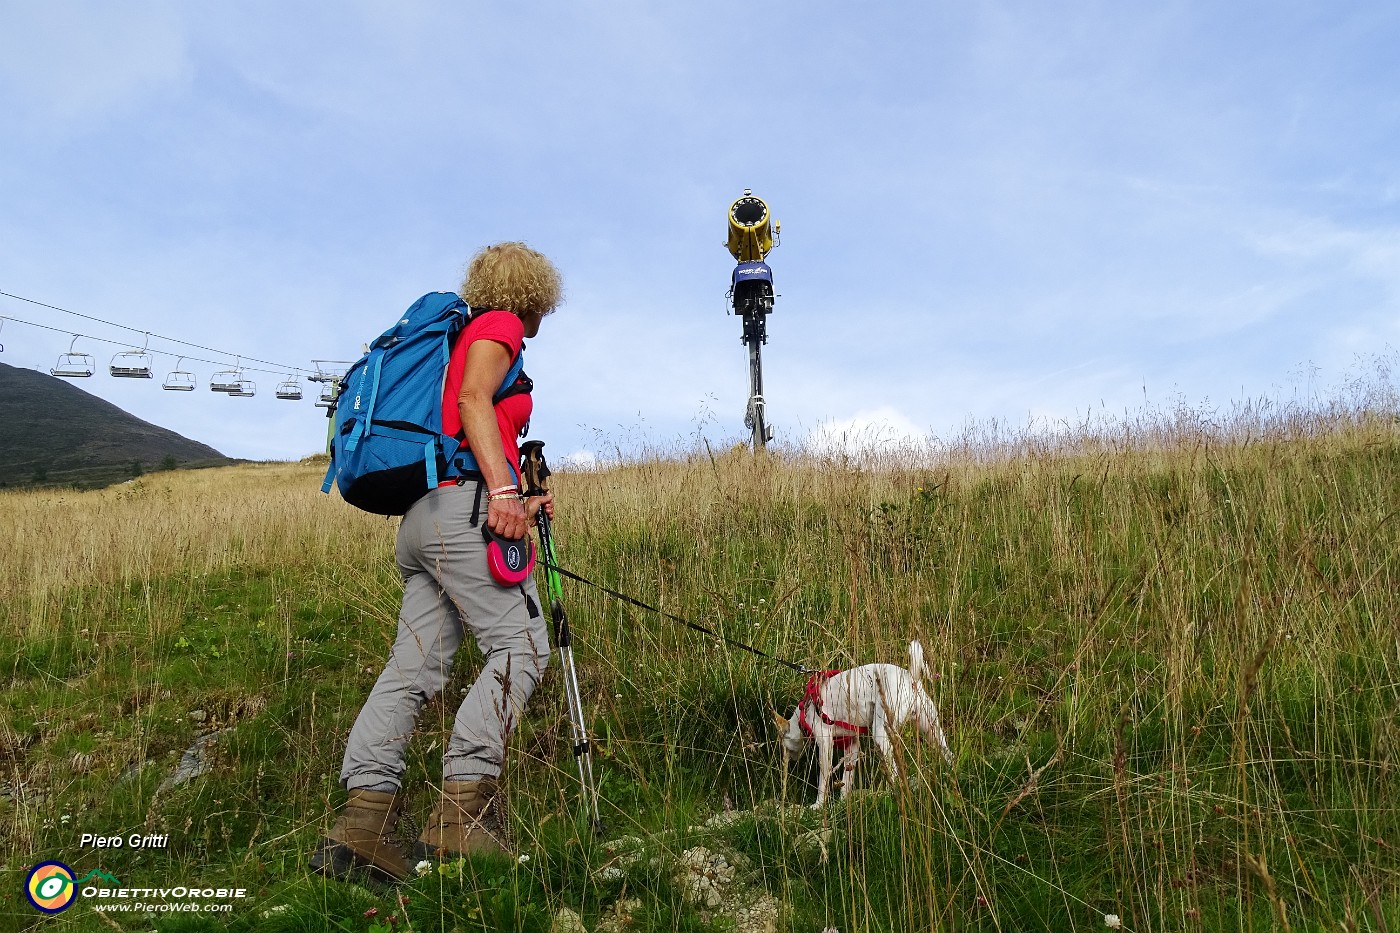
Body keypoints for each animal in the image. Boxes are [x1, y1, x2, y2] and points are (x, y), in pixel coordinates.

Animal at [772, 638, 957, 806]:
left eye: (785, 747)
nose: (787, 762)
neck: (804, 714)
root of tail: (910, 677)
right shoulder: (852, 746)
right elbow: (847, 778)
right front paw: (843, 802)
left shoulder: (825, 744)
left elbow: (823, 779)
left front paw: (818, 805)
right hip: (931, 729)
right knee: (949, 755)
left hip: (882, 734)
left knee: (895, 774)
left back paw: (888, 794)